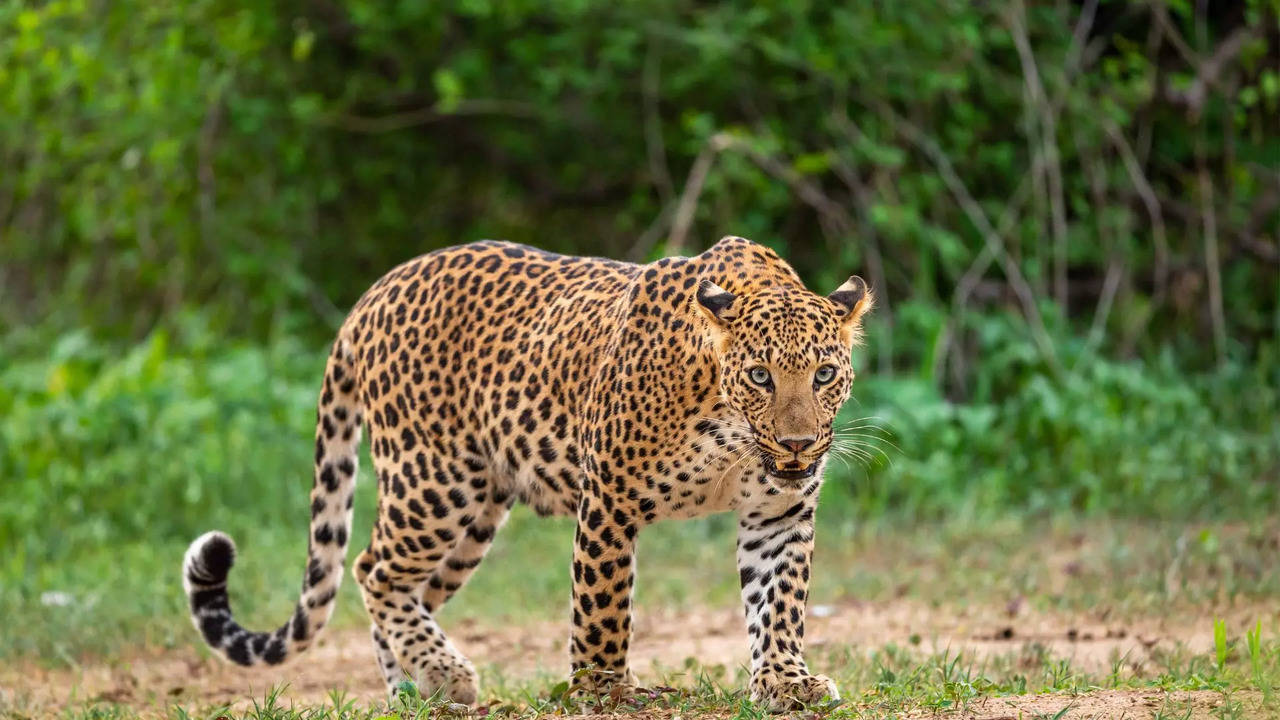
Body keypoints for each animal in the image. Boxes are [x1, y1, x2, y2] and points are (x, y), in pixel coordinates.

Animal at [180, 234, 870, 707]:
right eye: (760, 375)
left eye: (823, 375)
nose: (798, 444)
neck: (730, 431)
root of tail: (371, 295)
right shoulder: (610, 497)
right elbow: (602, 606)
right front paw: (602, 692)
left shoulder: (778, 511)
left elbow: (780, 602)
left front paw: (786, 681)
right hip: (433, 481)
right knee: (373, 569)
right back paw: (444, 674)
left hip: (476, 516)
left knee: (406, 589)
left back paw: (414, 689)